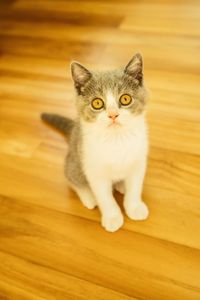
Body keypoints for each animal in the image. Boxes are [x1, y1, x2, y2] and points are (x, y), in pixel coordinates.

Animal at [41, 53, 148, 232]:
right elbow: (104, 197)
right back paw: (88, 196)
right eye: (97, 103)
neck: (116, 139)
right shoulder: (94, 170)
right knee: (72, 177)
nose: (113, 115)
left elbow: (135, 187)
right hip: (75, 160)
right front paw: (112, 218)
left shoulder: (138, 162)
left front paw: (134, 207)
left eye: (125, 99)